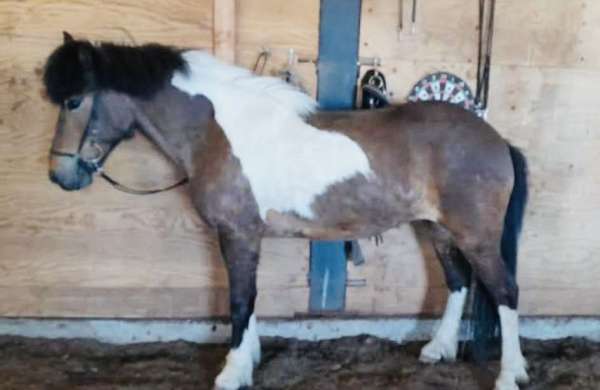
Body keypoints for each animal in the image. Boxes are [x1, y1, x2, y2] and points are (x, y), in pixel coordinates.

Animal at [43, 34, 528, 390]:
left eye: (73, 101)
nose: (59, 175)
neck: (220, 130)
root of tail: (497, 139)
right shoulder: (244, 236)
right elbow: (251, 297)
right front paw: (249, 360)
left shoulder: (237, 233)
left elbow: (240, 300)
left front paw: (231, 373)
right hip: (439, 229)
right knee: (458, 282)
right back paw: (437, 349)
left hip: (476, 236)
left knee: (505, 291)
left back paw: (509, 375)